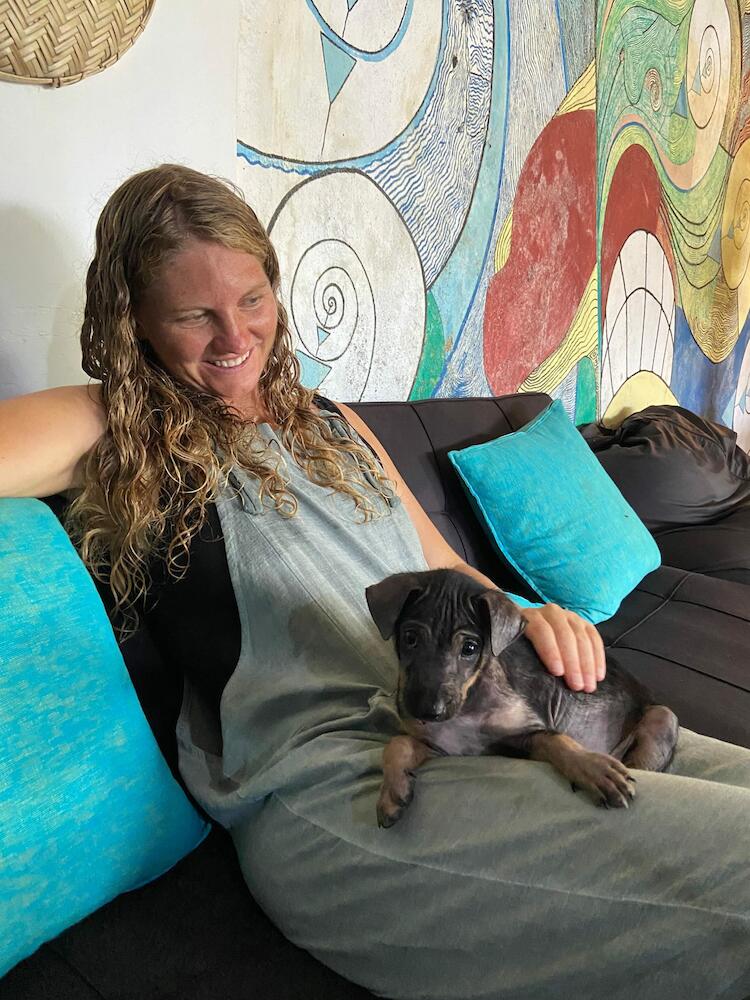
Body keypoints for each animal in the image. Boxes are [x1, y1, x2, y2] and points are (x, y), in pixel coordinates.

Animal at [366, 568, 680, 832]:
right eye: (410, 638)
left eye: (470, 648)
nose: (427, 712)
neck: (468, 705)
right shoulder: (447, 748)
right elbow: (398, 743)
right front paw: (392, 792)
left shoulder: (524, 735)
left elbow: (557, 740)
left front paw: (595, 770)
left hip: (662, 717)